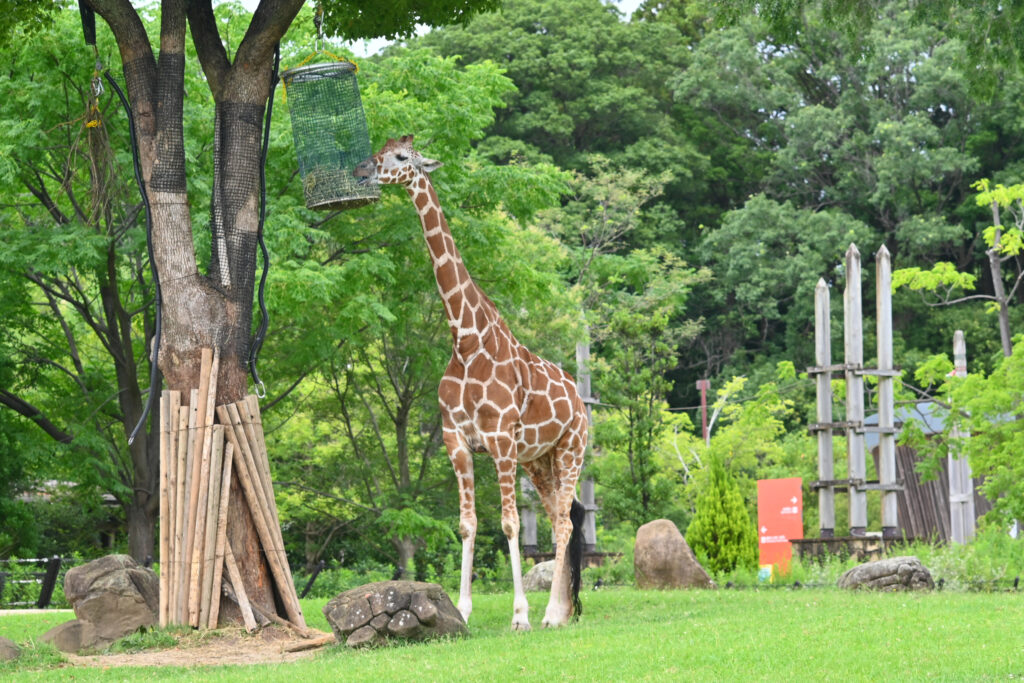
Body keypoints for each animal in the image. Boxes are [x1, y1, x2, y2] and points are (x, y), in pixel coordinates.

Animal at [355, 136, 588, 630]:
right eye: (380, 147)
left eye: (401, 157)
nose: (363, 170)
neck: (466, 340)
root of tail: (580, 401)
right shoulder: (457, 440)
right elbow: (468, 523)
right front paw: (461, 610)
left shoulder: (500, 441)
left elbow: (510, 523)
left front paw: (519, 615)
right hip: (539, 461)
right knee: (562, 518)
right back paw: (559, 612)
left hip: (571, 449)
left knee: (563, 522)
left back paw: (548, 615)